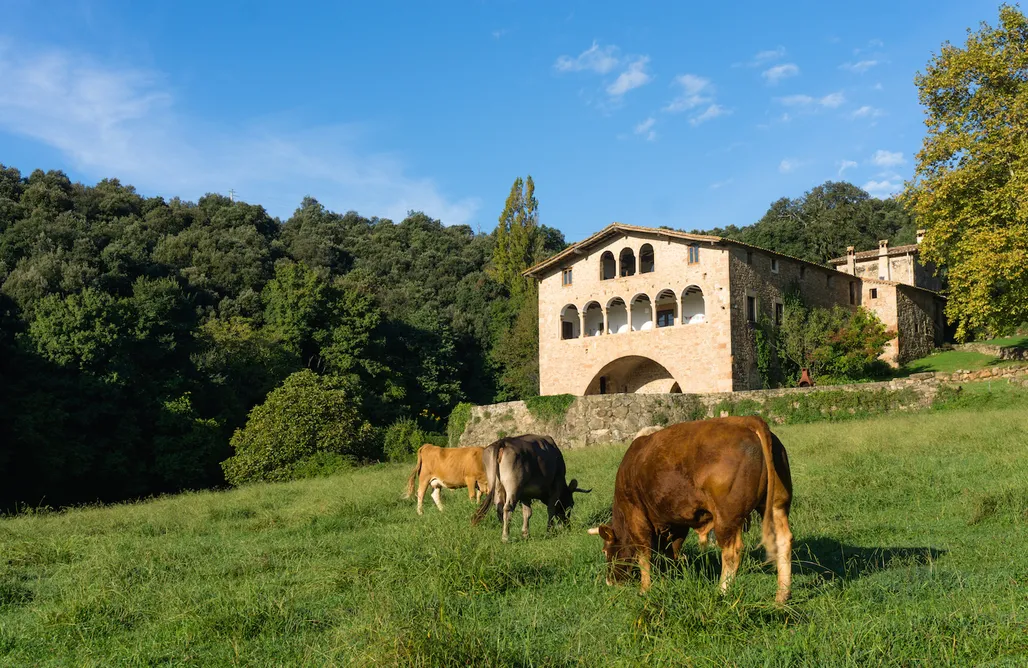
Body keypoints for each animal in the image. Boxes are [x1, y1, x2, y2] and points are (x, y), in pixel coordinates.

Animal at [588, 413, 793, 600]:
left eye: (605, 551)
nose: (610, 581)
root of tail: (746, 420)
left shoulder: (636, 515)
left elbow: (644, 554)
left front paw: (645, 589)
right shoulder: (676, 522)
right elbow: (670, 553)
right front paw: (666, 581)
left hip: (727, 517)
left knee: (732, 552)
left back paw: (721, 592)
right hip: (776, 505)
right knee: (783, 541)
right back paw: (781, 597)